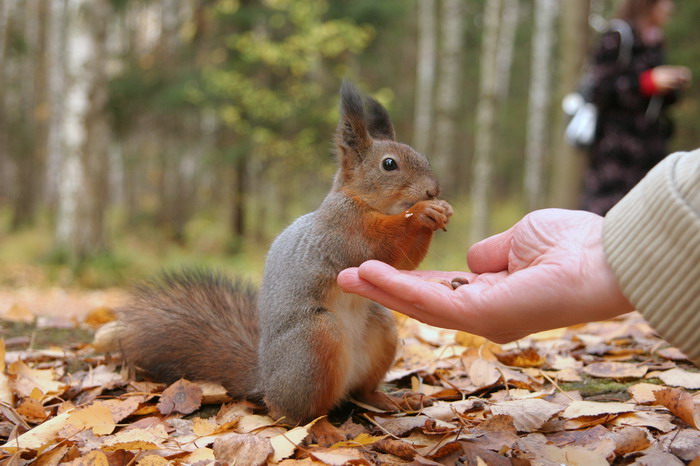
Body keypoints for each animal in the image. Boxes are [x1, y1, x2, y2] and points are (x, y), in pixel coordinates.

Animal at [106, 82, 452, 446]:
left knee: (361, 391)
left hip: (379, 328)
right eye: (389, 164)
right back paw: (323, 429)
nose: (433, 190)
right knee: (293, 414)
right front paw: (422, 213)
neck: (369, 204)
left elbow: (403, 262)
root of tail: (266, 382)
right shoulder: (342, 231)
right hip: (315, 342)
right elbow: (380, 248)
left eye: (423, 157)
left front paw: (439, 210)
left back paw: (391, 398)